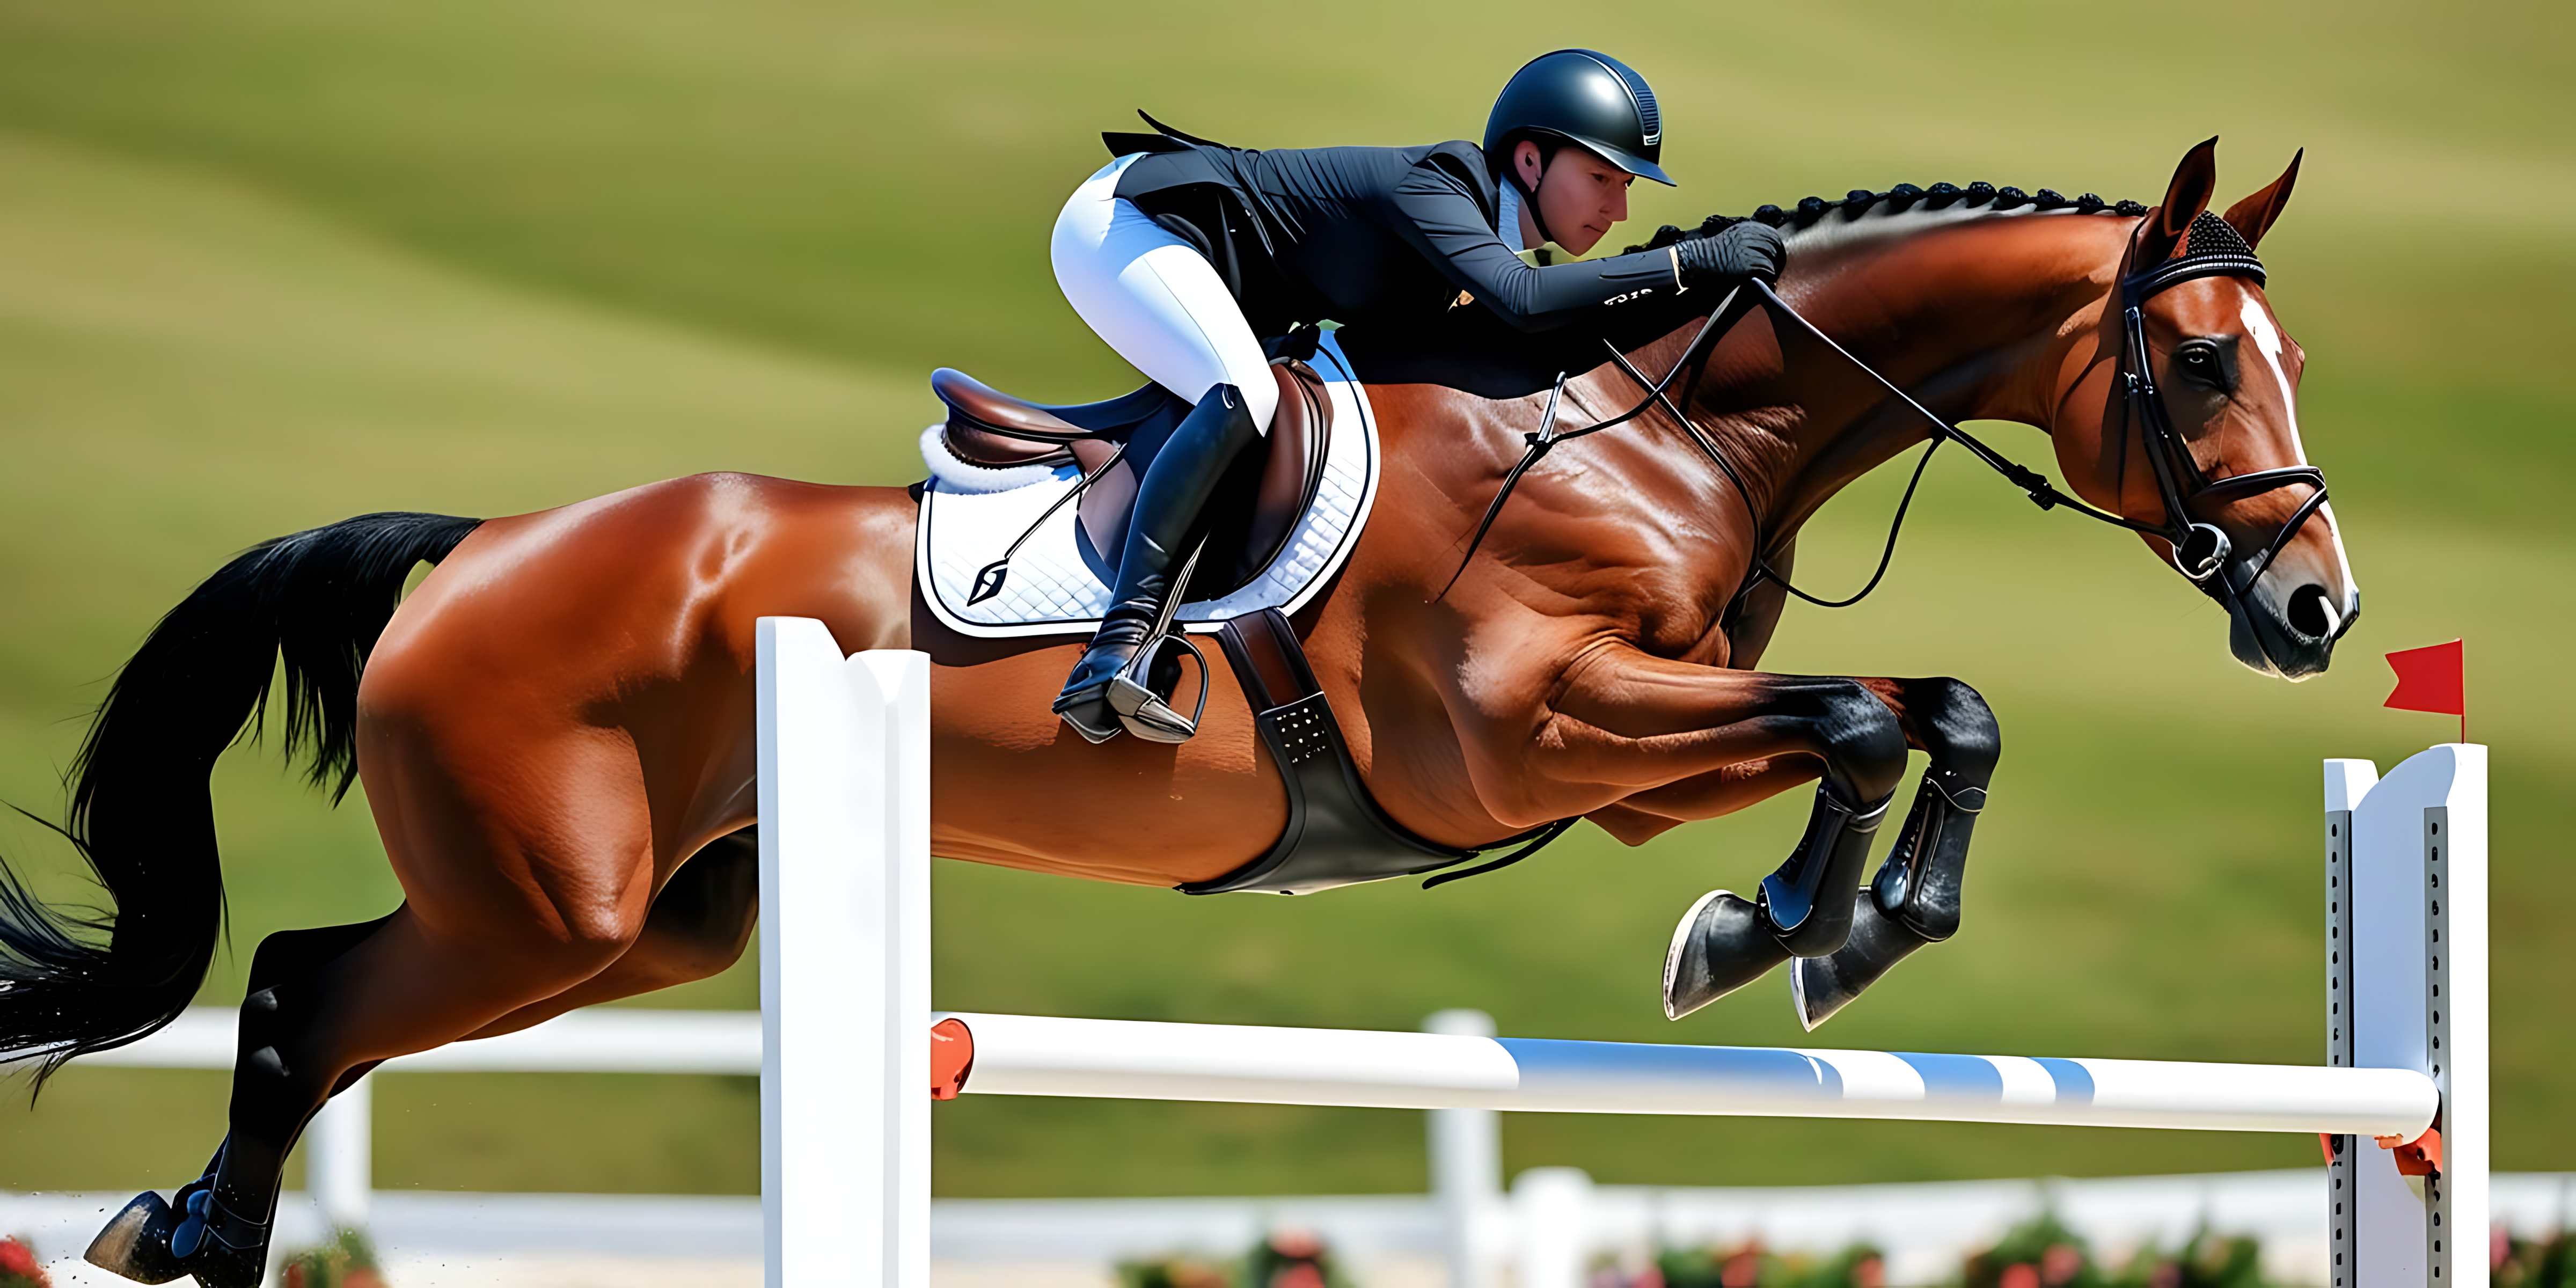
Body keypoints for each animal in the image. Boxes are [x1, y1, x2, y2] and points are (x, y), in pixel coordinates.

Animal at [1, 139, 2352, 1287]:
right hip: (551, 904)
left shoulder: (1631, 752)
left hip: (653, 920)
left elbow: (1926, 710)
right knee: (298, 994)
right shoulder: (1538, 729)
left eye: (2287, 358)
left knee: (317, 998)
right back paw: (200, 1237)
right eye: (2201, 364)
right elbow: (1876, 717)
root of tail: (482, 542)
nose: (2319, 607)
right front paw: (1789, 936)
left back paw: (186, 1234)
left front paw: (1829, 928)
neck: (1647, 414)